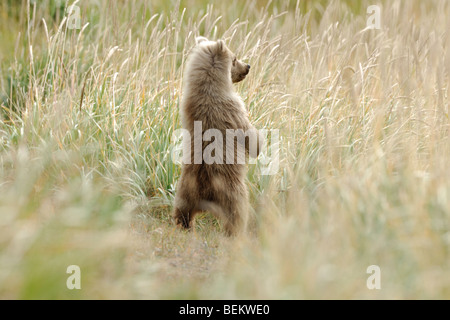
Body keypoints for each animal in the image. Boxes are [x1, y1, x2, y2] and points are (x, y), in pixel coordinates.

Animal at [173, 37, 264, 236]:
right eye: (234, 58)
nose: (248, 66)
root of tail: (206, 198)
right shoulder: (233, 110)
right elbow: (250, 137)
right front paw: (261, 139)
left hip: (185, 189)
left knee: (182, 210)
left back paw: (183, 225)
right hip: (232, 190)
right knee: (238, 213)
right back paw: (236, 233)